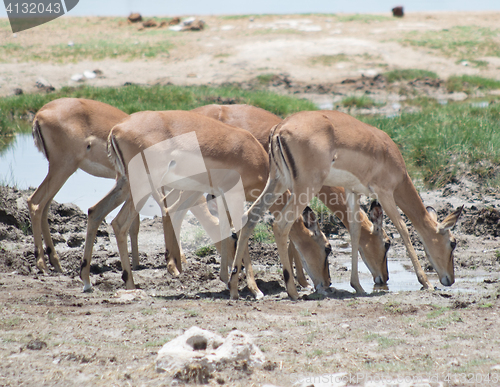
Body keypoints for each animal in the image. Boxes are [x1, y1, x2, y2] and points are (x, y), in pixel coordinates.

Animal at [229, 110, 462, 302]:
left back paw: (235, 288)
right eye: (453, 243)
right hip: (305, 187)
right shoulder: (385, 192)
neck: (387, 153)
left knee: (249, 217)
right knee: (280, 224)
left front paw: (357, 286)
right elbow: (403, 229)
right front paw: (426, 282)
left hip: (277, 182)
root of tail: (279, 129)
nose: (450, 279)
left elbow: (355, 230)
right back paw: (293, 292)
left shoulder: (353, 191)